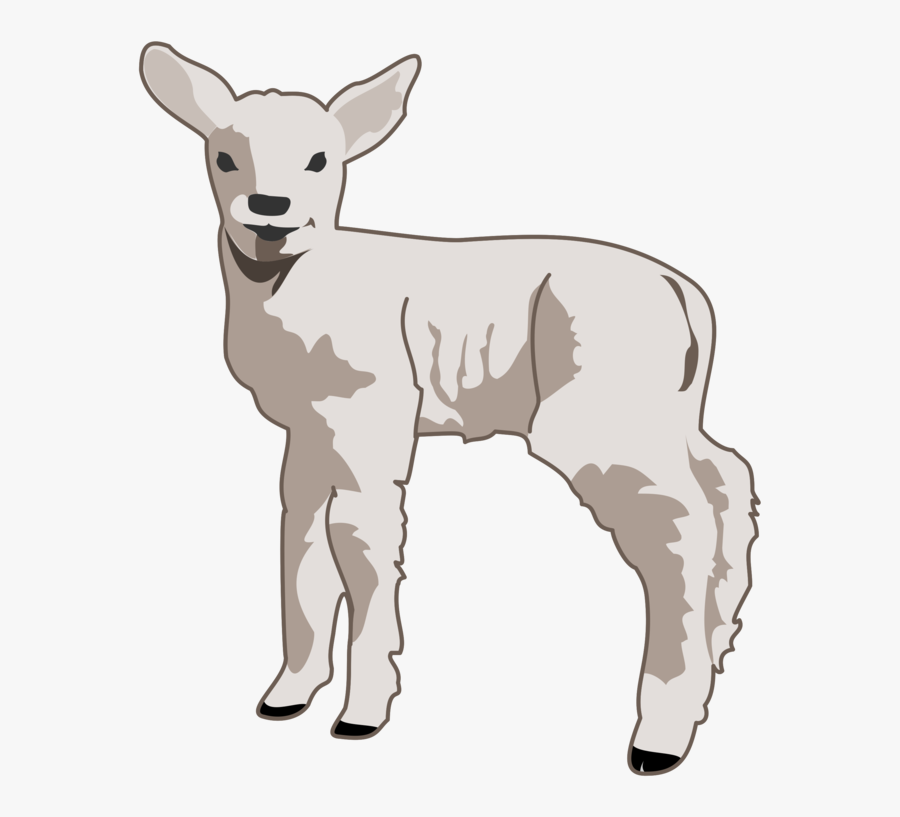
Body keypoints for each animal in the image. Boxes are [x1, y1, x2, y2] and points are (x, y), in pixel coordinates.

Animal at [139, 42, 758, 775]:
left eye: (321, 160)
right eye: (224, 155)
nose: (270, 207)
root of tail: (682, 289)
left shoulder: (371, 412)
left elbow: (361, 544)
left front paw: (360, 714)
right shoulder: (308, 429)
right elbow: (301, 543)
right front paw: (286, 695)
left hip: (597, 417)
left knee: (678, 526)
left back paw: (658, 739)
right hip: (667, 408)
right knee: (726, 482)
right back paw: (716, 662)